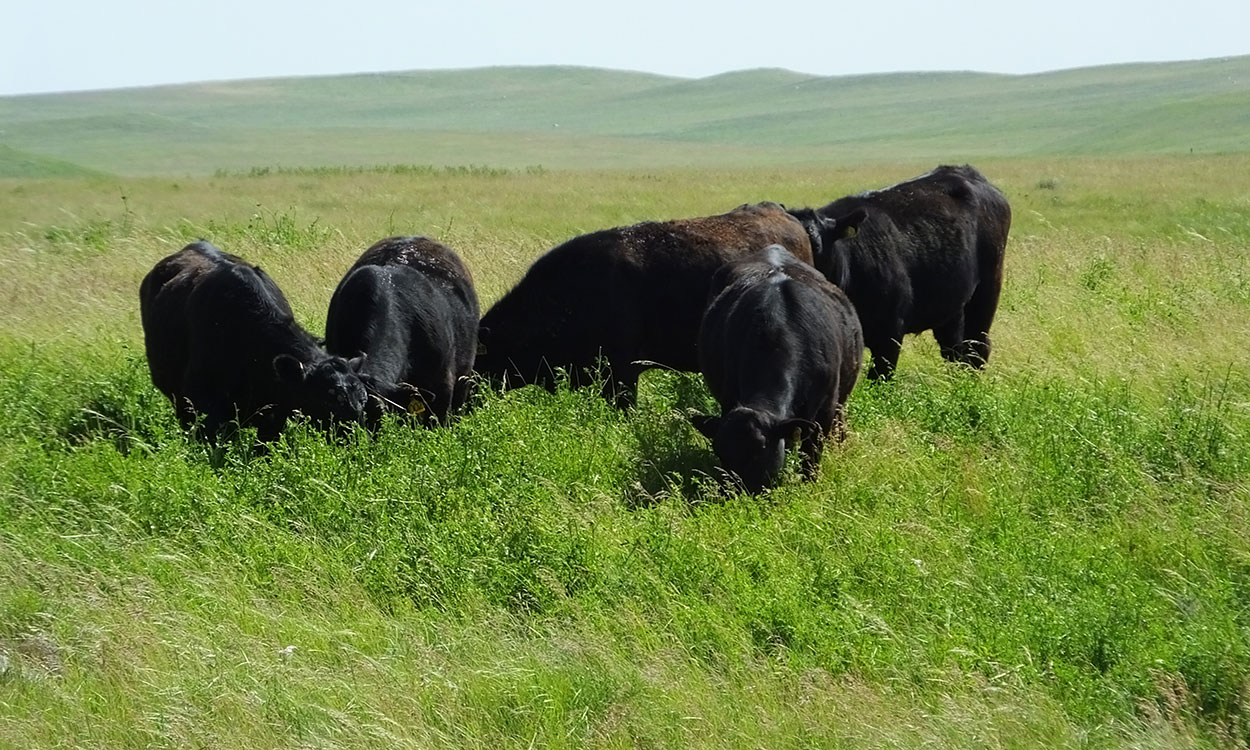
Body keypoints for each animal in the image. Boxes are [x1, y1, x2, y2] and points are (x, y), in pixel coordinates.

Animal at [690, 243, 865, 495]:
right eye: (720, 452)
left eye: (760, 450)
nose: (737, 492)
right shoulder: (728, 398)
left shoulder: (825, 411)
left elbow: (811, 454)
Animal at [790, 161, 1015, 377]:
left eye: (815, 247)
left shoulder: (890, 333)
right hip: (952, 303)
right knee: (953, 348)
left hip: (987, 290)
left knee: (977, 346)